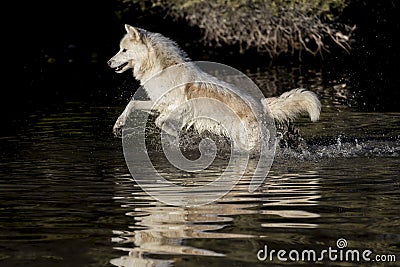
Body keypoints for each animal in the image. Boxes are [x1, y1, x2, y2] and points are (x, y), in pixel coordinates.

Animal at [108, 24, 320, 152]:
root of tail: (261, 104)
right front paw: (118, 124)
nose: (108, 62)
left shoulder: (180, 107)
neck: (160, 70)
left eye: (124, 50)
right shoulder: (158, 103)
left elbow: (161, 121)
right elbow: (132, 104)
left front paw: (173, 134)